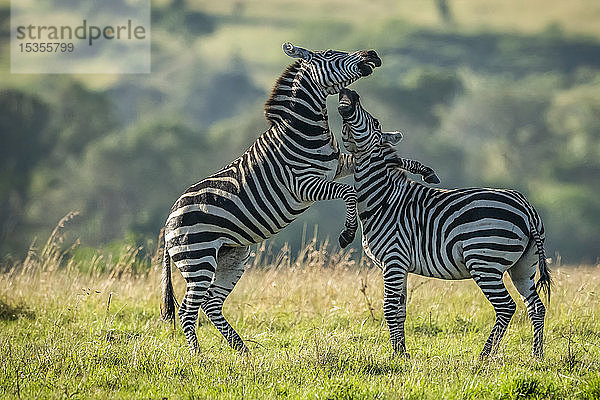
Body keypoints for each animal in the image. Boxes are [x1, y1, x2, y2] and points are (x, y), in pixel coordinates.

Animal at [162, 42, 382, 352]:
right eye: (329, 54)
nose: (372, 54)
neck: (303, 130)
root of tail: (170, 218)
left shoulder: (337, 165)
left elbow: (357, 166)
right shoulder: (304, 185)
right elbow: (348, 192)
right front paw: (347, 234)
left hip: (233, 256)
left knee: (211, 303)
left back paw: (242, 351)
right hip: (198, 258)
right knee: (187, 309)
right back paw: (197, 355)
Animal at [336, 89, 552, 358]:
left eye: (374, 121)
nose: (349, 92)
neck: (382, 197)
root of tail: (526, 207)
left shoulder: (393, 259)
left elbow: (389, 308)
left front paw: (395, 354)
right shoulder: (401, 265)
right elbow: (400, 310)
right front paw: (403, 354)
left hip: (485, 262)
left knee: (506, 306)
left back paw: (484, 356)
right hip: (523, 266)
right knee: (536, 306)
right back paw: (537, 355)